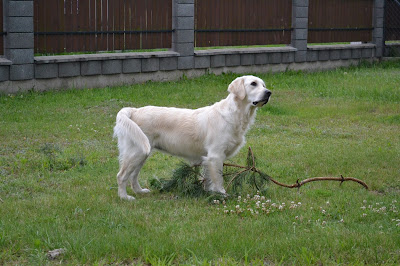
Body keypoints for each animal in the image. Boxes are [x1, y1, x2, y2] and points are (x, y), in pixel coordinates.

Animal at [114, 75, 274, 200]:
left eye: (264, 85)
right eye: (253, 83)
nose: (269, 93)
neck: (235, 114)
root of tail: (134, 111)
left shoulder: (207, 159)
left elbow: (208, 179)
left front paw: (208, 192)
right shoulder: (215, 156)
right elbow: (218, 179)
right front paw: (222, 195)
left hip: (142, 153)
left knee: (133, 175)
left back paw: (140, 191)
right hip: (136, 152)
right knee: (121, 175)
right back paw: (124, 197)